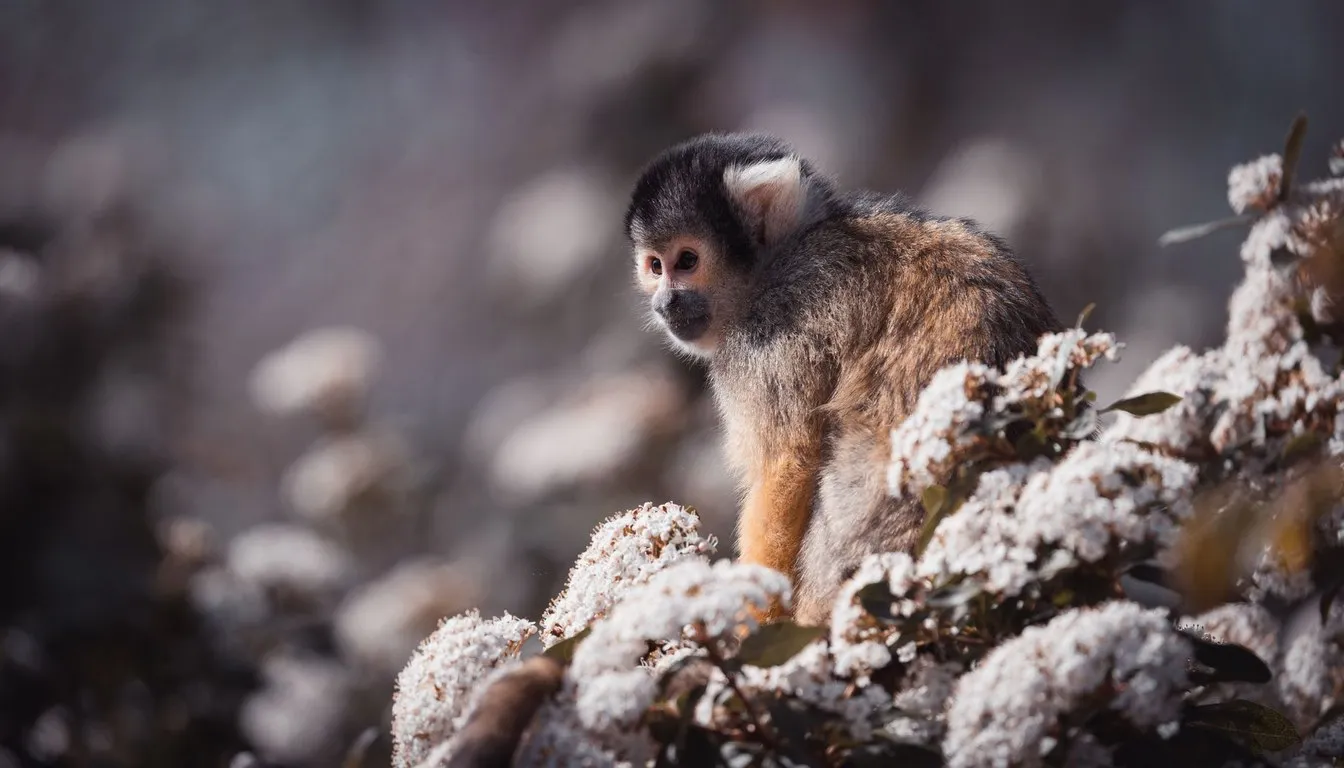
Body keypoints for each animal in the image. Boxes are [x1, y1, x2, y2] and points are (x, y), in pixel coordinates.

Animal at [624, 133, 1063, 625]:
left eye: (686, 260)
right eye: (655, 266)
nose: (664, 304)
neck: (779, 259)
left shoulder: (772, 329)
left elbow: (787, 463)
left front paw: (751, 623)